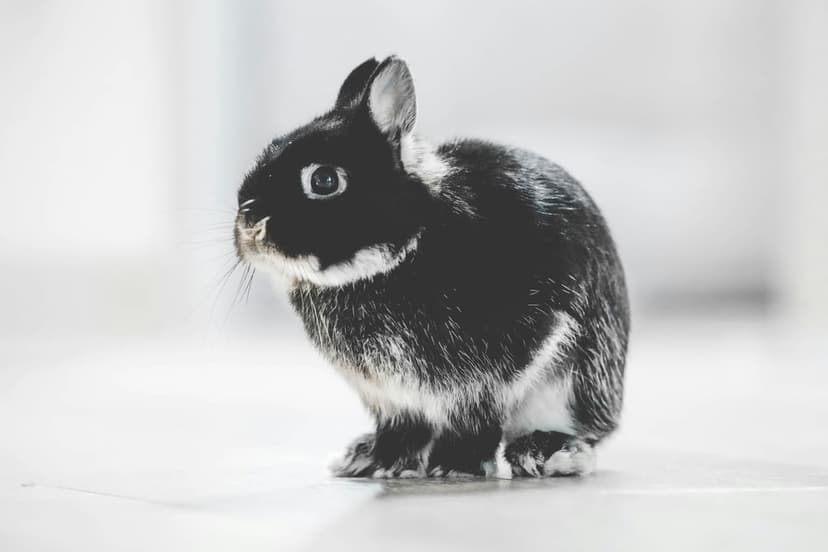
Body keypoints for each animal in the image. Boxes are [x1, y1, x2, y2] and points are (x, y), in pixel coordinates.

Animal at [234, 56, 630, 478]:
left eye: (324, 180)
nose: (249, 223)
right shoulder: (391, 398)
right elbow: (402, 429)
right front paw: (383, 464)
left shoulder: (491, 375)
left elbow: (474, 420)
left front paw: (456, 467)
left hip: (575, 384)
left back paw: (544, 453)